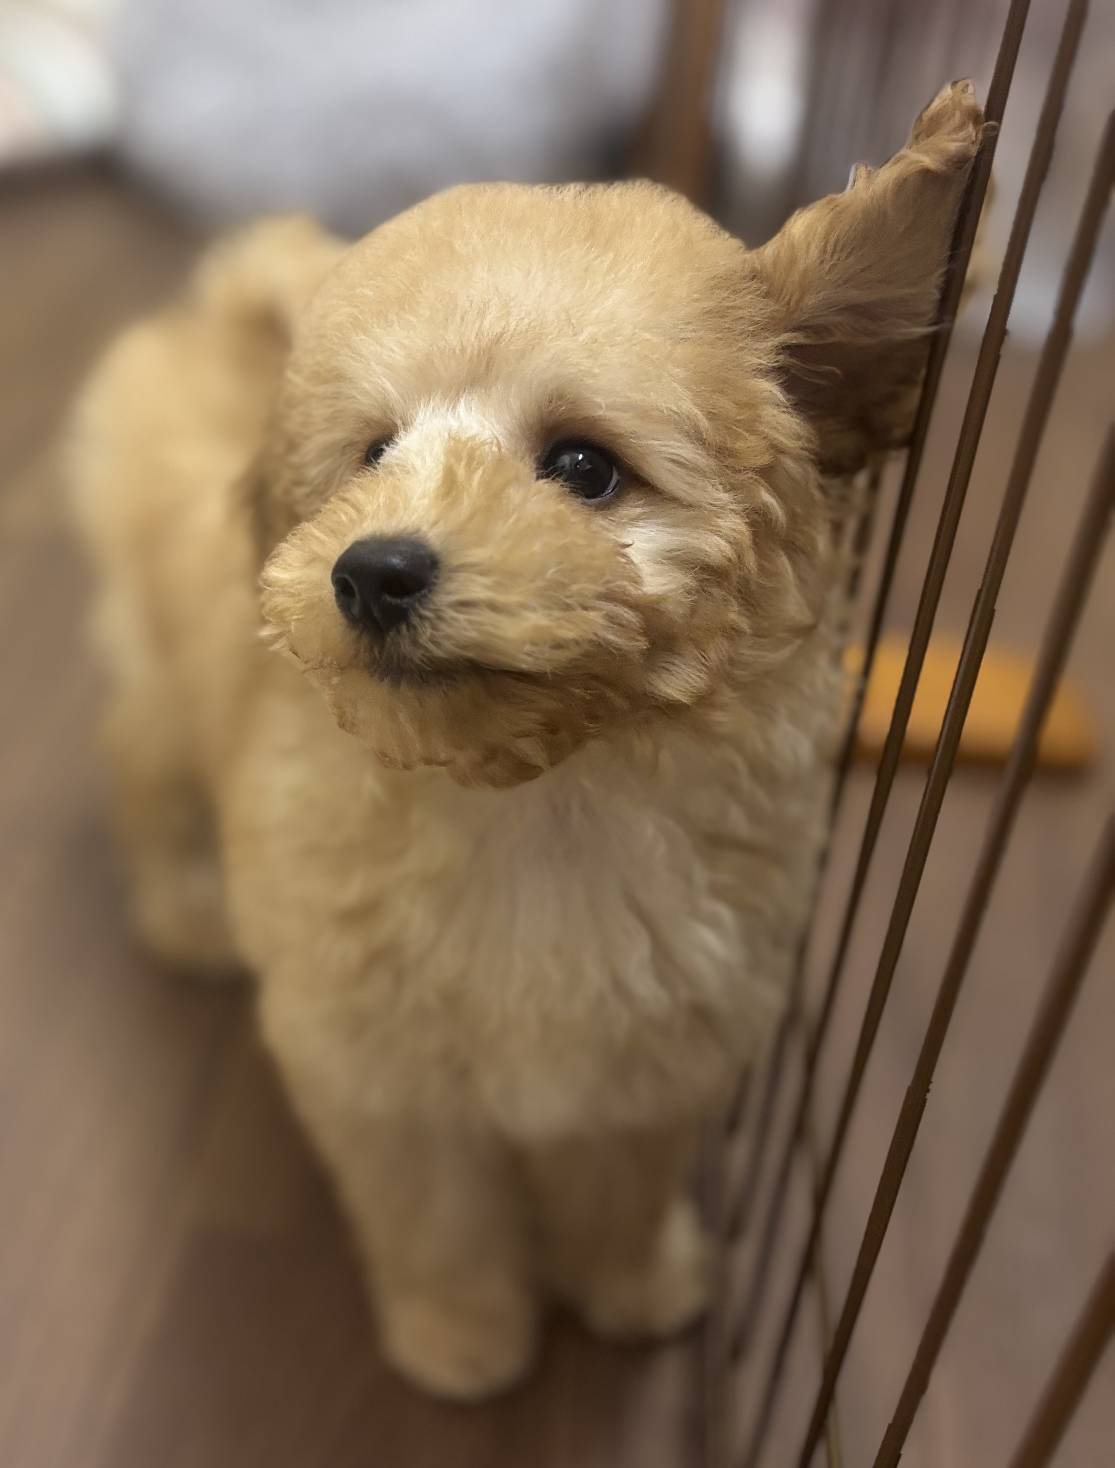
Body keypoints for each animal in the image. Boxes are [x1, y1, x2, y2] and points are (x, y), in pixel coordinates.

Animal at [69, 83, 980, 1397]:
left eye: (583, 466)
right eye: (371, 454)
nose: (371, 569)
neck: (542, 797)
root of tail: (220, 308)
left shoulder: (656, 1053)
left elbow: (618, 1186)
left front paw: (632, 1289)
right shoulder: (377, 1077)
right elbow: (434, 1214)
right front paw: (463, 1335)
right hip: (152, 670)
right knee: (140, 763)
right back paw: (187, 908)